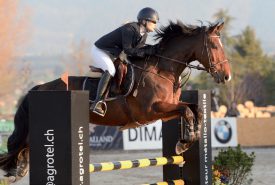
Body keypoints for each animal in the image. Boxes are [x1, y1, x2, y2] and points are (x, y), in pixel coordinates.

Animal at [0, 19, 232, 181]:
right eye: (214, 47)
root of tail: (40, 87)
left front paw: (188, 139)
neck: (163, 70)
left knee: (23, 145)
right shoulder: (153, 109)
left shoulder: (167, 111)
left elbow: (194, 109)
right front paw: (184, 142)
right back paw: (17, 170)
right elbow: (187, 111)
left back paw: (19, 170)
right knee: (23, 142)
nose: (226, 77)